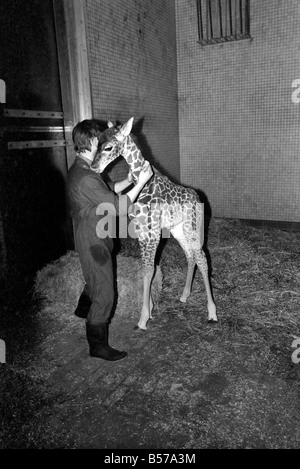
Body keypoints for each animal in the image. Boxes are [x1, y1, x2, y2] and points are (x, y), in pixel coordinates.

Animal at [90, 117, 217, 330]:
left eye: (108, 147)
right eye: (96, 143)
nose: (93, 167)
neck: (144, 185)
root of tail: (198, 196)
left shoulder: (152, 232)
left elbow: (150, 270)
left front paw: (143, 319)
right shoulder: (141, 231)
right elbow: (146, 269)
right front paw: (149, 309)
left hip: (192, 226)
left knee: (201, 257)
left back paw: (212, 312)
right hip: (177, 229)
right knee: (190, 255)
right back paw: (184, 295)